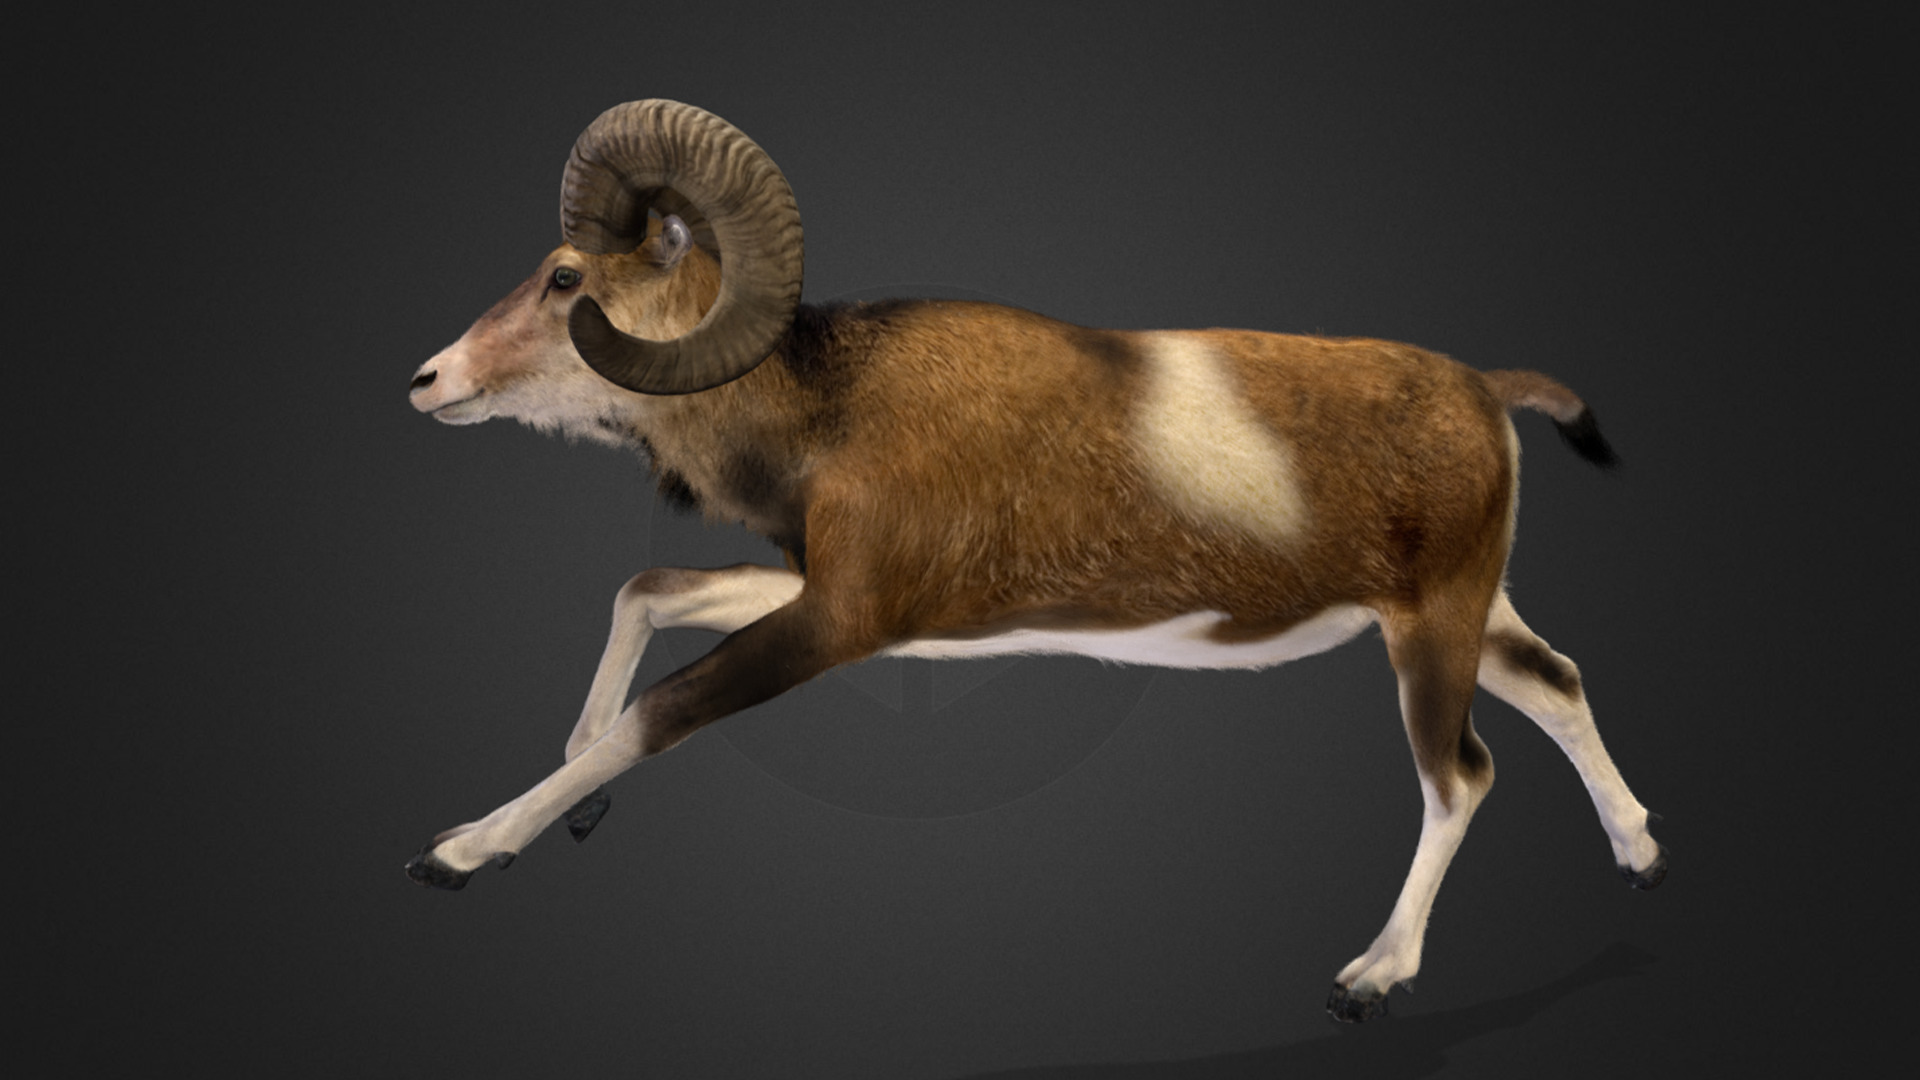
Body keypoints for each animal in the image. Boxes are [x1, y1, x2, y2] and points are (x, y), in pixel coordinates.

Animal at [403, 99, 1665, 1022]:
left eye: (567, 279)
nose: (428, 381)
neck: (828, 406)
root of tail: (1486, 395)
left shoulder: (836, 624)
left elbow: (659, 713)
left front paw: (465, 850)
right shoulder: (832, 597)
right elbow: (647, 595)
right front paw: (571, 799)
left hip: (1430, 630)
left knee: (1462, 774)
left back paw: (1374, 978)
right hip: (1465, 616)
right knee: (1557, 684)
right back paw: (1641, 855)